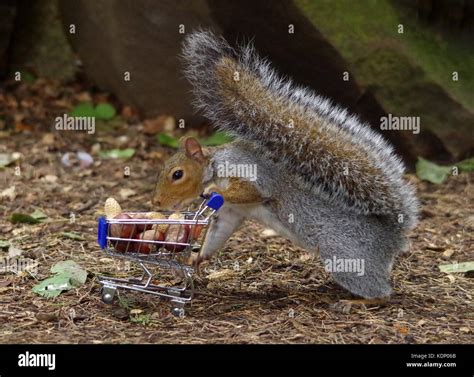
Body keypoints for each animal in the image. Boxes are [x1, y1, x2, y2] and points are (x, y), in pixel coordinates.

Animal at [153, 30, 418, 300]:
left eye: (177, 174)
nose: (156, 202)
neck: (215, 165)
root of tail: (392, 239)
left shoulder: (248, 173)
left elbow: (251, 191)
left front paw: (213, 191)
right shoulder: (231, 211)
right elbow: (220, 232)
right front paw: (197, 259)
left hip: (345, 258)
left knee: (381, 293)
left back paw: (359, 301)